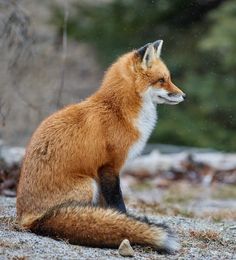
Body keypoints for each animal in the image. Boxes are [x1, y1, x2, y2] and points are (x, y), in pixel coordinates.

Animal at [17, 40, 186, 254]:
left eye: (168, 78)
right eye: (162, 80)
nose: (184, 96)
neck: (118, 112)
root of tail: (26, 218)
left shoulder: (105, 172)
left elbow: (109, 208)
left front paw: (118, 222)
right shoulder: (109, 166)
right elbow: (117, 203)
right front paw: (126, 224)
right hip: (88, 184)